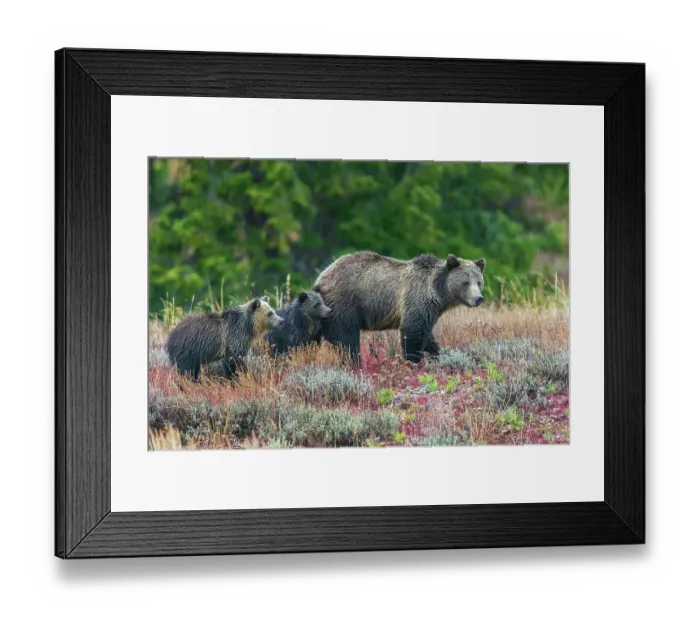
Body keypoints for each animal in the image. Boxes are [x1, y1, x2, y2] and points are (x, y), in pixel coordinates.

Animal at [312, 251, 486, 363]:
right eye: (465, 282)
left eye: (479, 282)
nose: (478, 298)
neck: (438, 293)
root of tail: (321, 278)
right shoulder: (416, 299)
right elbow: (413, 333)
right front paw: (414, 361)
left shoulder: (429, 311)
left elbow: (427, 335)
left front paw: (437, 353)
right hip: (344, 302)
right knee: (346, 338)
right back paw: (355, 362)